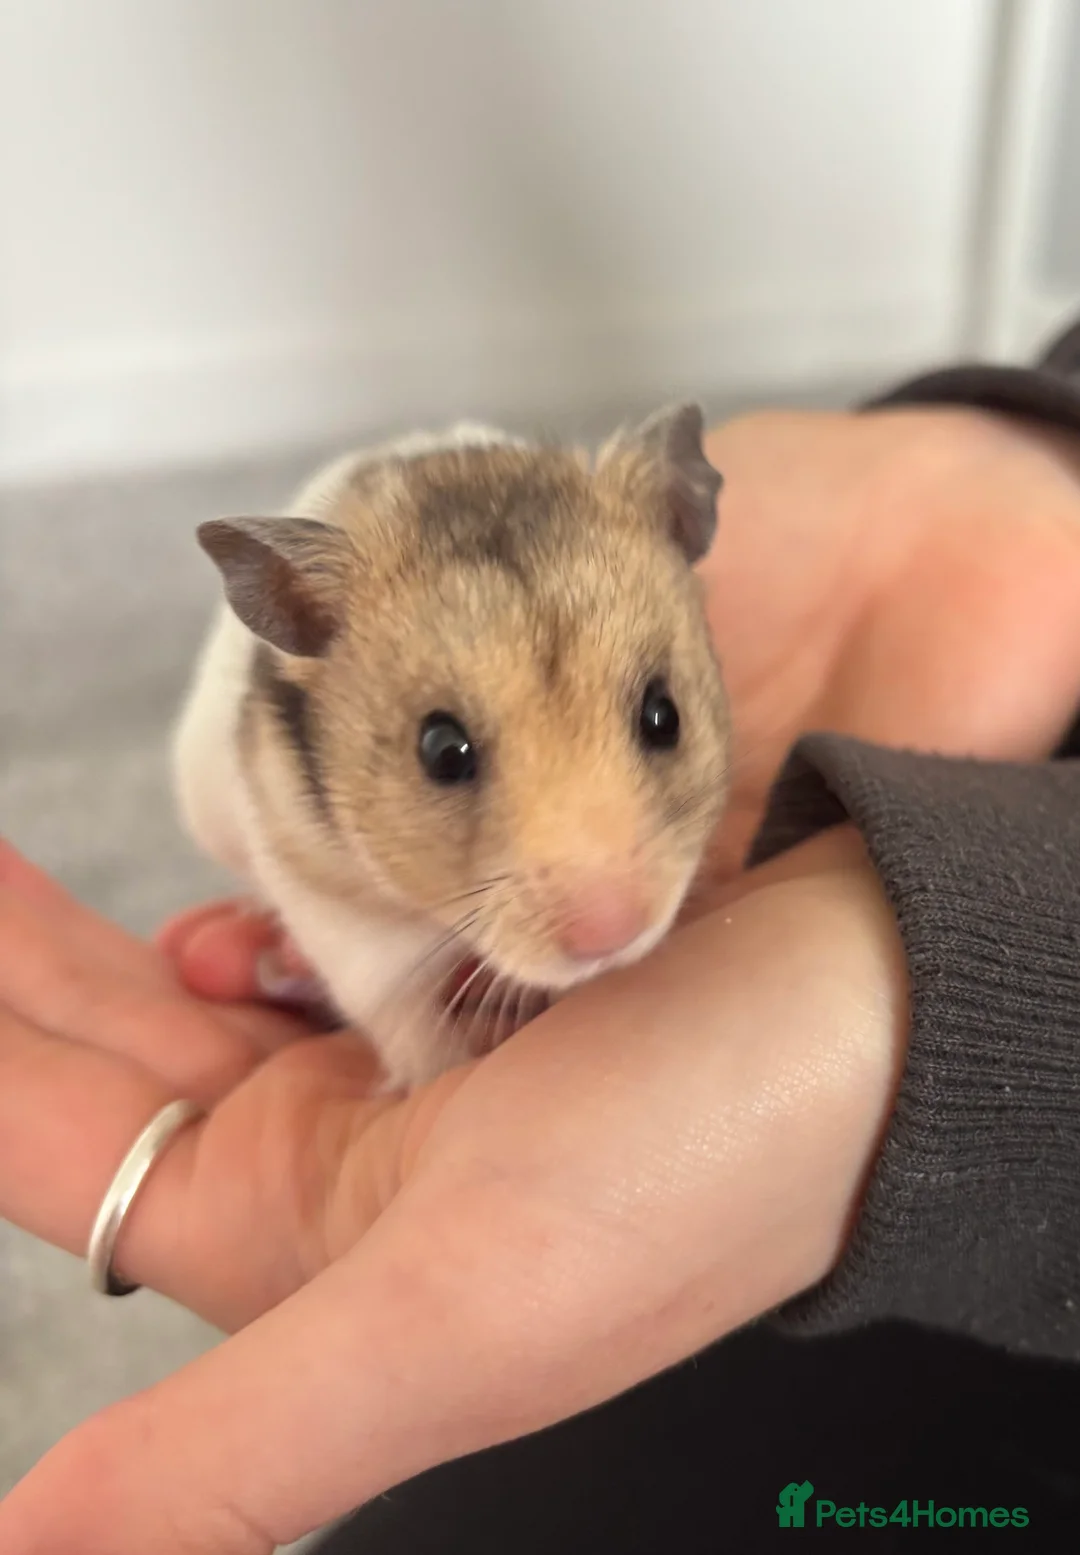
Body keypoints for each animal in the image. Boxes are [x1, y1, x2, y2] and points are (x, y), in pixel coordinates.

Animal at [173, 407, 731, 1091]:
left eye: (663, 716)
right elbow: (402, 1020)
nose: (612, 936)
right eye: (441, 751)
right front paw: (441, 1072)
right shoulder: (341, 923)